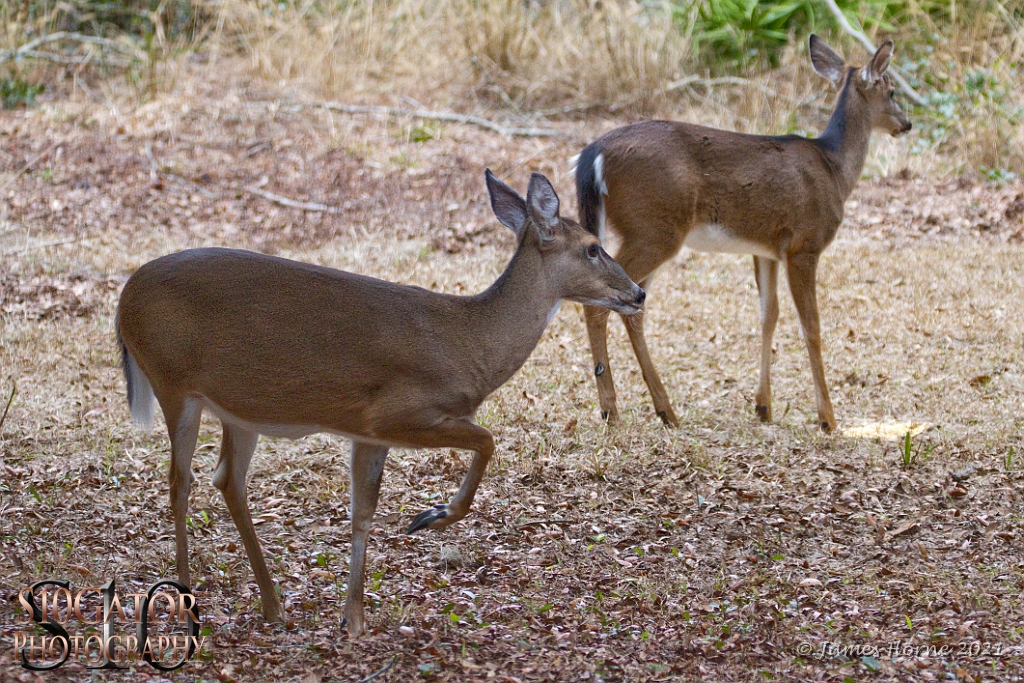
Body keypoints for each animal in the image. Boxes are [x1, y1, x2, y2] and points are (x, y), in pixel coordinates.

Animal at [116, 169, 643, 634]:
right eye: (592, 248)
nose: (637, 292)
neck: (468, 344)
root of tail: (123, 302)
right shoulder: (398, 413)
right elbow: (488, 441)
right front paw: (430, 517)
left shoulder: (367, 432)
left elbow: (362, 514)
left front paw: (352, 619)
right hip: (173, 381)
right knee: (180, 483)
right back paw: (187, 605)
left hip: (239, 408)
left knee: (227, 478)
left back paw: (273, 607)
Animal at [577, 33, 913, 432]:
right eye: (892, 91)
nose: (907, 124)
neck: (833, 168)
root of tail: (592, 154)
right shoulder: (804, 244)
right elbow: (811, 326)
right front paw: (828, 419)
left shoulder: (766, 249)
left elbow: (769, 315)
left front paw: (763, 406)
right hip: (652, 228)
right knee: (601, 304)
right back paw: (611, 411)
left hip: (647, 230)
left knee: (633, 307)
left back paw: (666, 411)